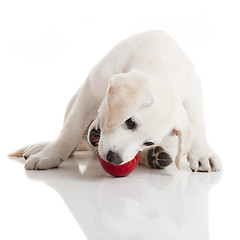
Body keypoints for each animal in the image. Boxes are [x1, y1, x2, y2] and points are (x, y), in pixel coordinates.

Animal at [9, 30, 221, 172]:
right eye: (130, 122)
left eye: (148, 141)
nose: (115, 159)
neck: (158, 60)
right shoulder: (91, 88)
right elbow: (71, 128)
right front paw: (51, 154)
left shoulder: (193, 89)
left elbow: (196, 122)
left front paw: (203, 153)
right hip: (73, 100)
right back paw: (44, 146)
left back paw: (154, 157)